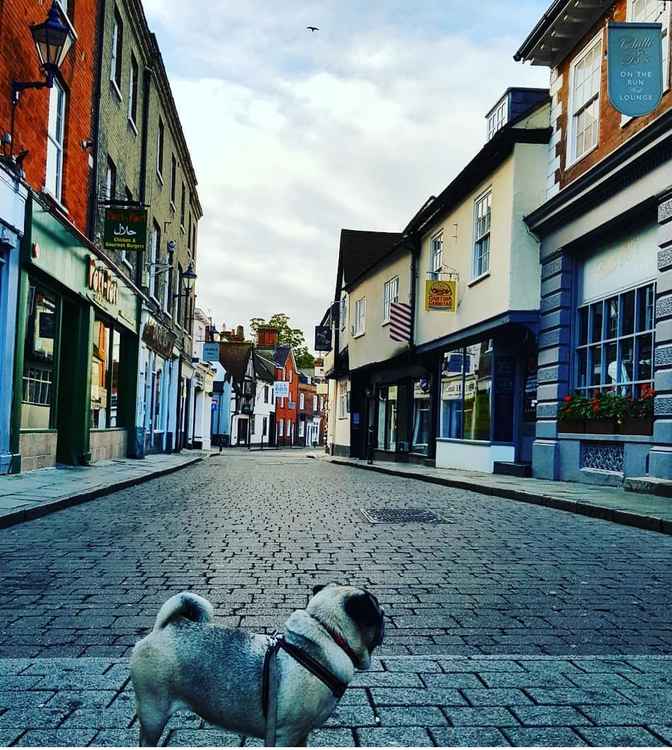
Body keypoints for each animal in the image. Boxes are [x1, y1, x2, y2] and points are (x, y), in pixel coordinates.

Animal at [131, 584, 386, 748]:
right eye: (377, 614)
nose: (384, 613)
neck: (328, 634)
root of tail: (167, 627)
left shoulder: (300, 736)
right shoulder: (285, 735)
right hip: (154, 714)